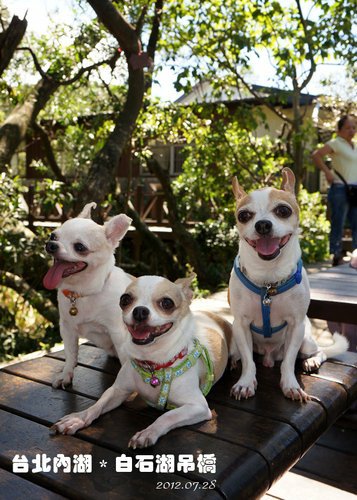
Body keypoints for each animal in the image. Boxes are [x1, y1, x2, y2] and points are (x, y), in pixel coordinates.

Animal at [43, 201, 132, 388]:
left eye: (80, 247)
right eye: (53, 236)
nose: (51, 245)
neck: (82, 293)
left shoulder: (118, 332)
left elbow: (125, 360)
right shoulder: (67, 329)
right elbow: (70, 354)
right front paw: (66, 374)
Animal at [52, 276, 231, 448]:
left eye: (167, 303)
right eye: (124, 299)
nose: (139, 311)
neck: (152, 364)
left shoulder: (198, 406)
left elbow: (167, 416)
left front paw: (148, 432)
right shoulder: (117, 390)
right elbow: (97, 405)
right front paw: (77, 419)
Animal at [228, 168, 348, 402]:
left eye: (283, 210)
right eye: (244, 215)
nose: (263, 224)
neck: (268, 281)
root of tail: (269, 357)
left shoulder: (296, 326)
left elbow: (289, 361)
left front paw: (291, 385)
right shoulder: (240, 325)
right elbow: (248, 360)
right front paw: (245, 382)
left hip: (307, 339)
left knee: (319, 352)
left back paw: (311, 360)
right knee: (244, 355)